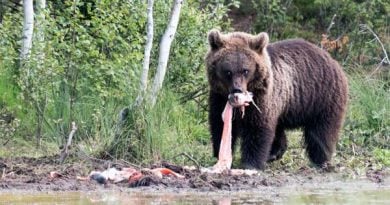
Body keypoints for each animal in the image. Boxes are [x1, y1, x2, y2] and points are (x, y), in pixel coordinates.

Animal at [206, 29, 348, 170]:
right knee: (279, 129)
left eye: (245, 70)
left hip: (322, 96)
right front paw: (219, 154)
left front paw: (250, 163)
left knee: (321, 131)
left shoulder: (262, 97)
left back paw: (321, 159)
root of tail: (331, 60)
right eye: (228, 71)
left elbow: (257, 127)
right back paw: (274, 153)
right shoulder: (218, 97)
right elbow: (219, 123)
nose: (238, 89)